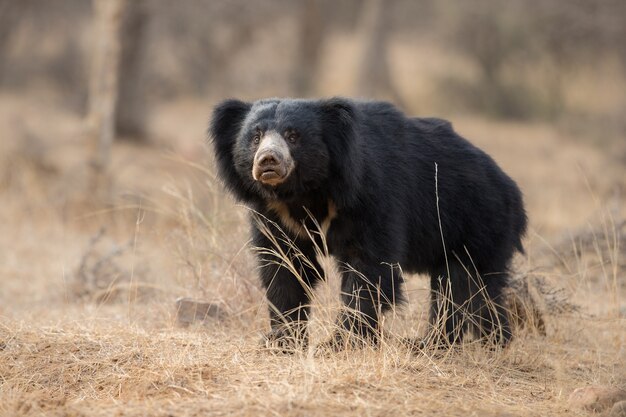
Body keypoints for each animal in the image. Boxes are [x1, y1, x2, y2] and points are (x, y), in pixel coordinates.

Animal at [208, 97, 520, 352]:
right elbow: (284, 267)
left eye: (293, 135)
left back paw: (449, 343)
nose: (268, 161)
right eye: (255, 136)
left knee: (465, 286)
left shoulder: (371, 195)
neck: (305, 192)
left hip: (477, 223)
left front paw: (340, 343)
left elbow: (368, 268)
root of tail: (509, 187)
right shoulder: (275, 216)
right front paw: (281, 340)